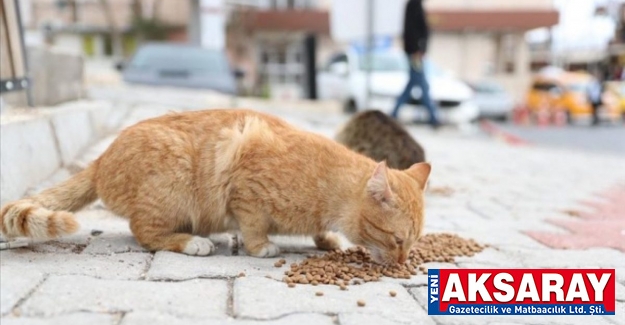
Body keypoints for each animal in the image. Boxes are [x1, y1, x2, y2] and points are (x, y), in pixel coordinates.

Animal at [1, 109, 428, 264]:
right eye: (396, 239)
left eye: (412, 242)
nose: (403, 262)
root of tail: (101, 160)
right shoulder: (247, 192)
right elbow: (254, 228)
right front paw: (261, 247)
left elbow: (321, 230)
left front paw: (327, 239)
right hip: (171, 185)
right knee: (145, 233)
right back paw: (193, 242)